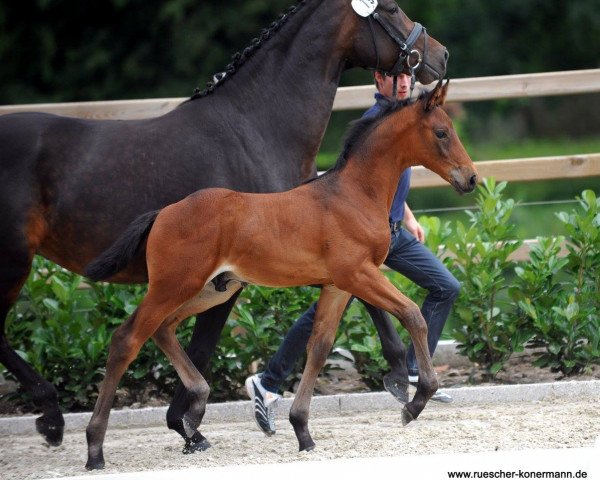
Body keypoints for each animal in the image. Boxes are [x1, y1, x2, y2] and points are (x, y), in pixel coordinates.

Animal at [84, 79, 476, 468]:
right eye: (442, 132)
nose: (471, 178)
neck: (353, 194)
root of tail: (162, 213)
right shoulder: (358, 274)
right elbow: (412, 315)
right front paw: (417, 401)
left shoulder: (337, 286)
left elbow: (319, 347)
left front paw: (302, 431)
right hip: (174, 285)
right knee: (127, 339)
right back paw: (95, 449)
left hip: (212, 289)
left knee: (163, 329)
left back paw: (194, 413)